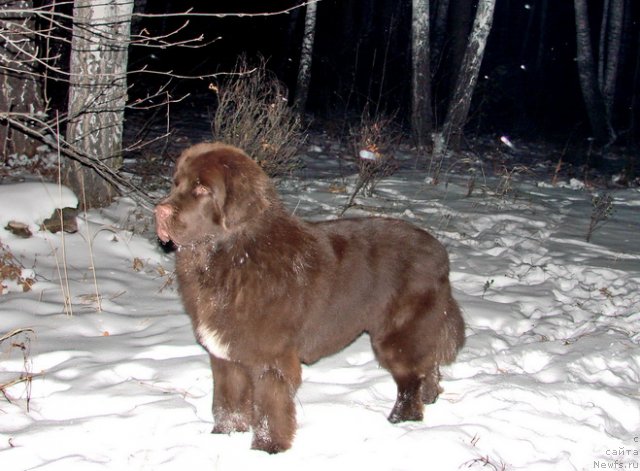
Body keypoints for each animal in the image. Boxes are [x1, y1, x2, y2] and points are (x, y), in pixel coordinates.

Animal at [155, 143, 464, 454]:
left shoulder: (271, 358)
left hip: (397, 335)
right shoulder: (225, 356)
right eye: (175, 183)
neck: (232, 256)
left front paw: (268, 449)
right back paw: (430, 396)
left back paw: (402, 420)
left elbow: (269, 408)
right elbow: (227, 401)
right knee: (428, 363)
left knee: (410, 378)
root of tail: (440, 252)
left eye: (202, 189)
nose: (159, 210)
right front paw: (224, 436)